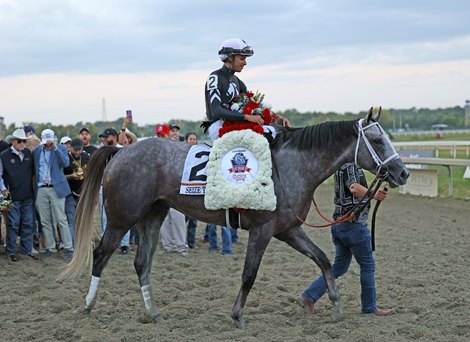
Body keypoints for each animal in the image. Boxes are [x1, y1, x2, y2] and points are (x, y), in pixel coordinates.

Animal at [61, 109, 408, 328]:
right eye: (378, 140)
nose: (402, 172)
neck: (289, 166)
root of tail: (120, 150)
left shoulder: (289, 230)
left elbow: (323, 259)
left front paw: (335, 306)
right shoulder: (263, 231)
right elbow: (249, 274)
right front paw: (237, 315)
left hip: (153, 216)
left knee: (142, 263)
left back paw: (154, 313)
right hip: (122, 217)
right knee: (100, 254)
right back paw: (88, 305)